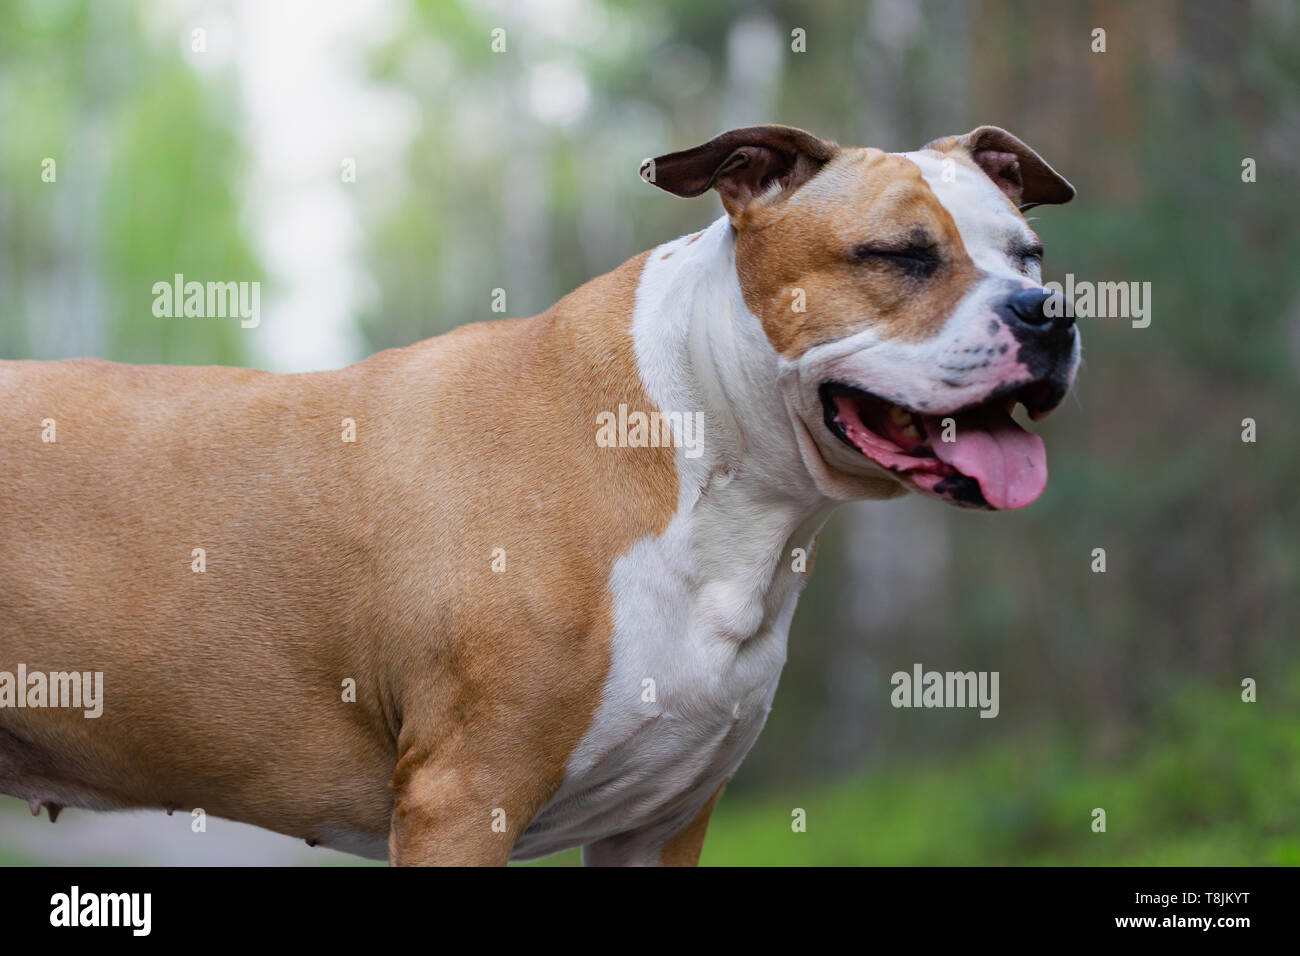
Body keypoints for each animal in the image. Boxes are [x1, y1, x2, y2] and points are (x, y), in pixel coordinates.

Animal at [0, 125, 1076, 868]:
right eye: (900, 254)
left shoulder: (663, 822)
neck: (697, 452)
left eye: (1029, 253)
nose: (1051, 313)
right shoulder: (462, 800)